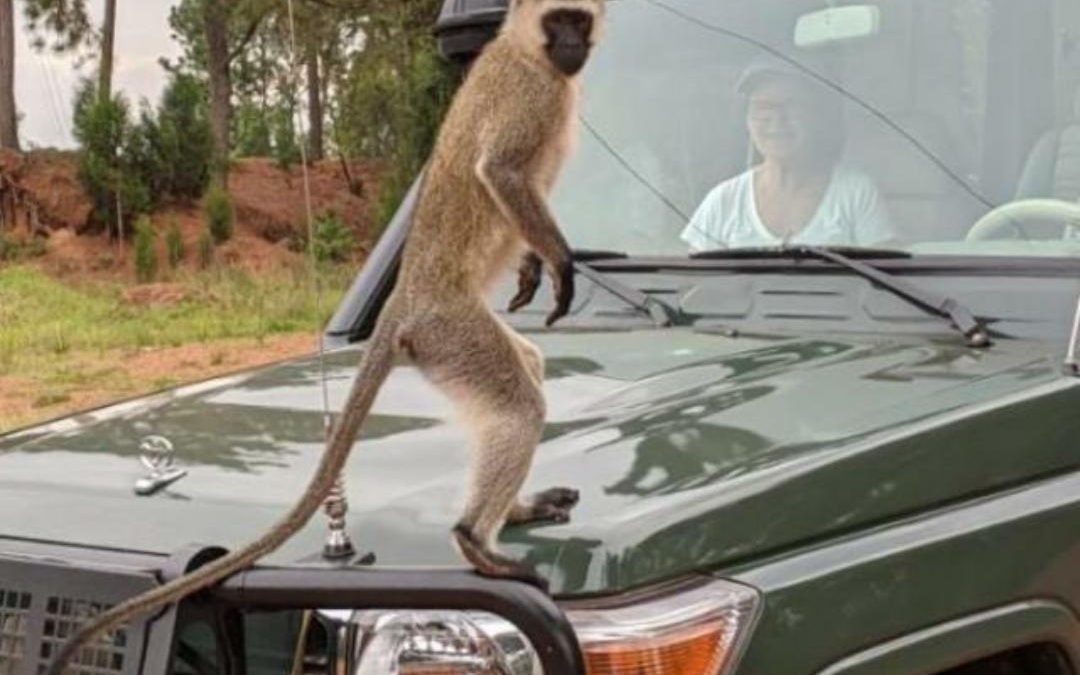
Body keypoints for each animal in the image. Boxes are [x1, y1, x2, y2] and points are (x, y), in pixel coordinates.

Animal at [45, 1, 605, 673]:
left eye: (579, 19)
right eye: (559, 20)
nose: (573, 43)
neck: (526, 51)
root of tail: (402, 305)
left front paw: (530, 268)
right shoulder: (530, 96)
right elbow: (499, 171)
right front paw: (561, 263)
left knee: (526, 369)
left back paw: (509, 511)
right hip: (449, 330)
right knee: (521, 401)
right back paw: (475, 540)